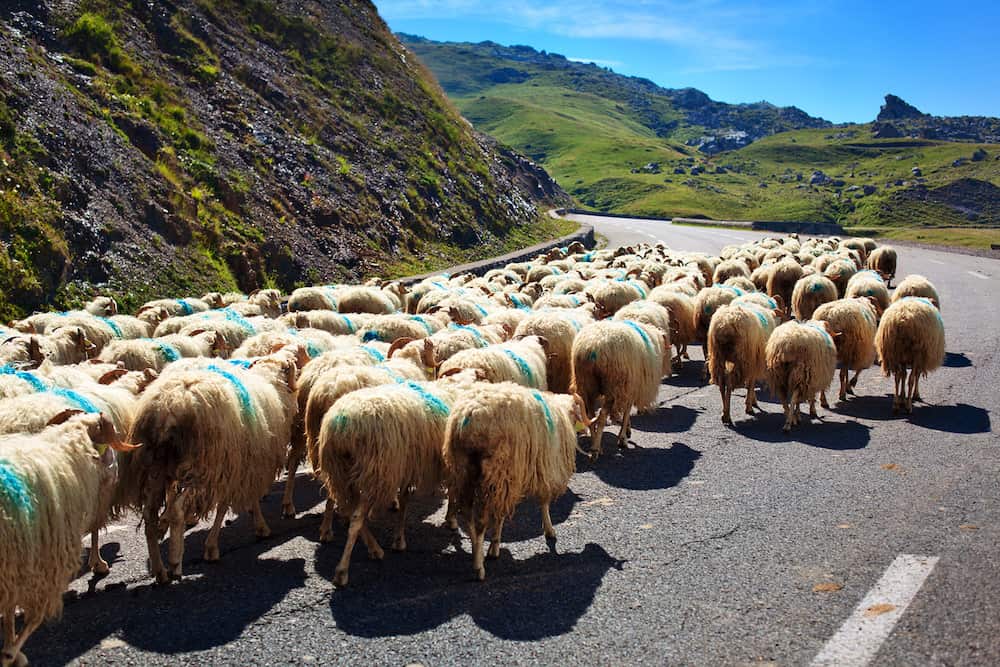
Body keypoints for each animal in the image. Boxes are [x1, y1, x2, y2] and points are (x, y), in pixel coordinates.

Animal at [0, 412, 129, 667]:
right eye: (106, 440)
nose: (116, 473)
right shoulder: (44, 564)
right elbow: (34, 617)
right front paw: (11, 654)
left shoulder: (15, 569)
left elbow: (9, 614)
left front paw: (10, 649)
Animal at [119, 348, 298, 580]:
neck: (272, 384)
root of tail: (170, 406)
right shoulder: (238, 468)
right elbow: (227, 506)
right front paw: (216, 546)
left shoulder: (240, 468)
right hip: (198, 467)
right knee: (177, 510)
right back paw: (175, 563)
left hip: (155, 467)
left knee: (149, 516)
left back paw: (160, 571)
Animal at [316, 370, 480, 584]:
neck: (454, 389)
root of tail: (342, 426)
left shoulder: (407, 466)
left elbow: (404, 500)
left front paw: (399, 539)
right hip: (375, 472)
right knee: (356, 518)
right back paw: (343, 570)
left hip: (341, 471)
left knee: (343, 504)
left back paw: (371, 547)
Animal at [444, 384, 588, 580]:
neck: (562, 414)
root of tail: (467, 417)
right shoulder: (541, 470)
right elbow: (544, 503)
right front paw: (549, 530)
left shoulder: (511, 478)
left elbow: (500, 515)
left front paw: (494, 546)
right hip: (493, 471)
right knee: (480, 521)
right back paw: (479, 568)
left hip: (464, 469)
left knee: (467, 515)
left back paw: (475, 550)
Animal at [576, 320, 668, 460]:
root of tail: (592, 346)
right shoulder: (629, 387)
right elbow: (626, 412)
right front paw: (623, 438)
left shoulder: (627, 389)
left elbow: (626, 412)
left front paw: (627, 431)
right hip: (612, 385)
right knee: (602, 416)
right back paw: (595, 449)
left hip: (587, 384)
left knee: (590, 415)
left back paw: (595, 443)